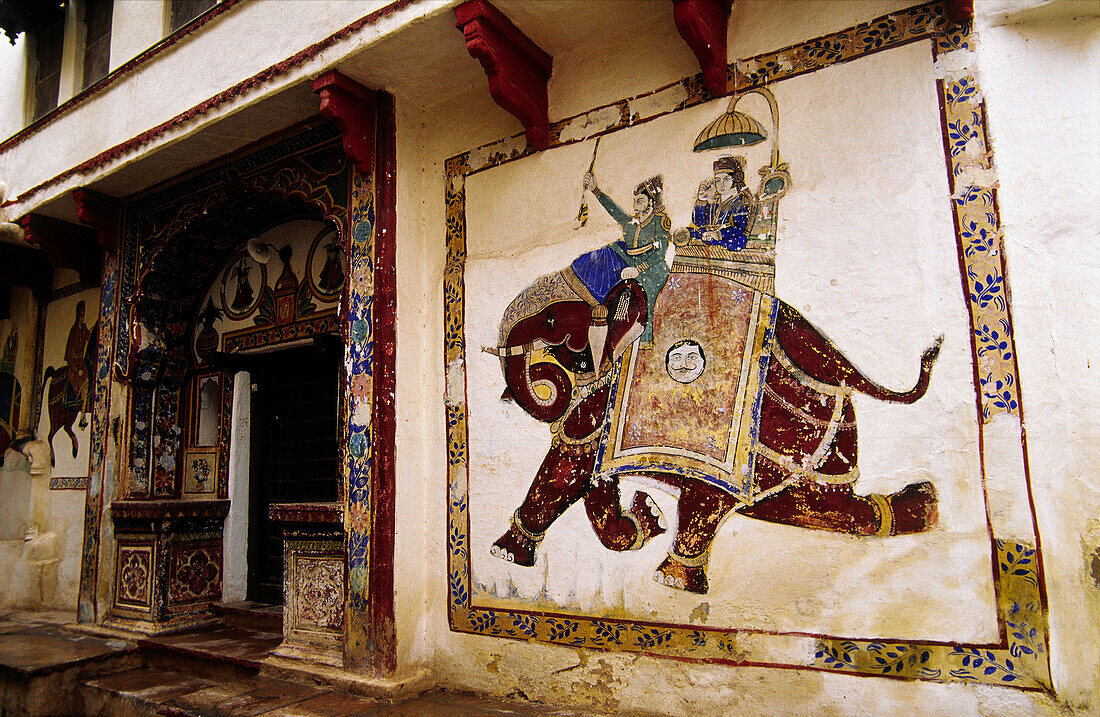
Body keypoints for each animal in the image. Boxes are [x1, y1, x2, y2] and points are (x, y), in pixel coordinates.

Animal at [490, 262, 946, 593]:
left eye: (551, 321)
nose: (544, 379)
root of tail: (841, 367)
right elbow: (576, 469)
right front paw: (646, 518)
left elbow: (575, 461)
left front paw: (655, 539)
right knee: (811, 505)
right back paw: (920, 506)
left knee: (735, 498)